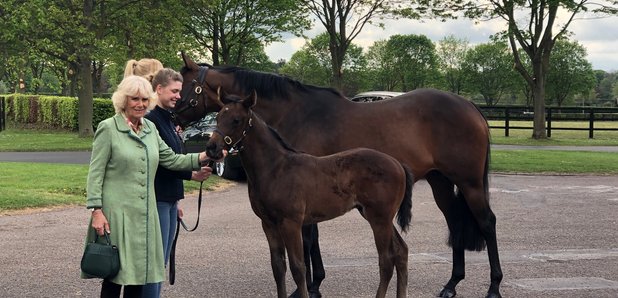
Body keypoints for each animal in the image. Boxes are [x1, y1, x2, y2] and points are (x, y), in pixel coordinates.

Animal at [205, 91, 412, 298]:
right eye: (218, 117)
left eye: (236, 120)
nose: (211, 148)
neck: (276, 169)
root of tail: (398, 164)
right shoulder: (268, 224)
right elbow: (278, 267)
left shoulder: (291, 223)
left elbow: (298, 268)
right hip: (375, 216)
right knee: (401, 252)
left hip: (379, 218)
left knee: (386, 260)